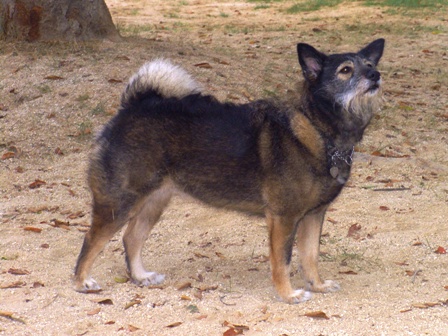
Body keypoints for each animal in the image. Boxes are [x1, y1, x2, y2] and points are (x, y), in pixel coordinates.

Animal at [74, 38, 384, 304]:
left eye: (370, 64)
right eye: (346, 70)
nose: (376, 75)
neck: (318, 127)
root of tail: (131, 107)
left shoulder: (313, 215)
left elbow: (310, 257)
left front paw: (317, 285)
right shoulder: (284, 218)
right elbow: (282, 261)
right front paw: (288, 294)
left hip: (153, 202)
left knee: (131, 238)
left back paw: (140, 277)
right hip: (118, 203)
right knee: (91, 240)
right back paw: (81, 282)